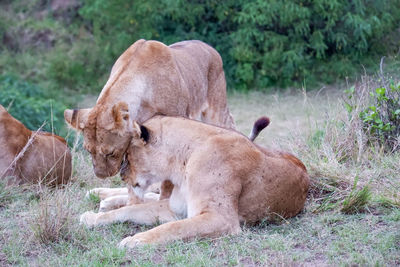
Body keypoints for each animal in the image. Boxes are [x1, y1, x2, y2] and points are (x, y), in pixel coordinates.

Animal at [64, 39, 236, 207]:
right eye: (88, 151)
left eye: (110, 153)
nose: (101, 175)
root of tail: (207, 46)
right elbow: (133, 179)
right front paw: (133, 203)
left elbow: (167, 180)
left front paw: (164, 201)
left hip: (216, 110)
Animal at [79, 109, 310, 249]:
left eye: (127, 155)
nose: (122, 175)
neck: (182, 163)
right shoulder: (176, 208)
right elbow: (132, 210)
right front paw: (93, 218)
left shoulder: (221, 219)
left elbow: (171, 228)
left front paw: (136, 240)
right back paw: (101, 197)